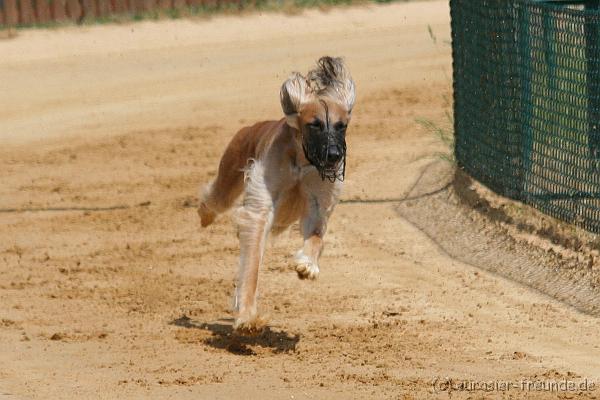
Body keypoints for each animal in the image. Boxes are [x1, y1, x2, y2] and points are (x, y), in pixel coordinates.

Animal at [197, 56, 356, 332]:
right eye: (314, 124)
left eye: (341, 126)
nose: (334, 156)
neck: (301, 160)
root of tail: (252, 127)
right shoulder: (261, 207)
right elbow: (252, 264)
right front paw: (248, 315)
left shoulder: (317, 205)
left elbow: (316, 237)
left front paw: (307, 265)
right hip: (231, 168)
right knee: (215, 199)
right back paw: (205, 214)